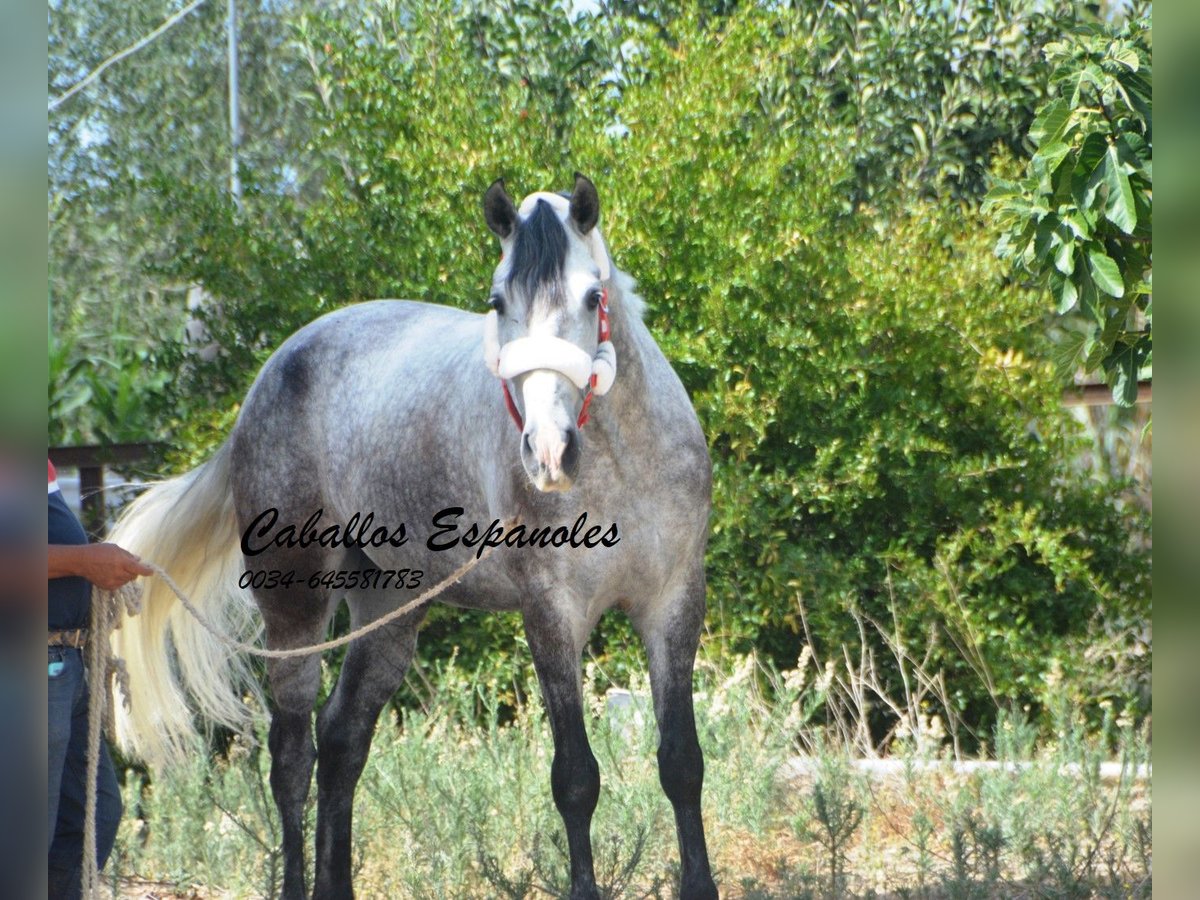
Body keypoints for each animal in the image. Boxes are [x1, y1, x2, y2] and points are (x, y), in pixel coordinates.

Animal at [110, 172, 710, 897]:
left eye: (593, 296)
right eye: (497, 301)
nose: (547, 453)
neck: (620, 464)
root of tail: (271, 375)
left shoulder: (673, 603)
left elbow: (682, 763)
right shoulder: (552, 614)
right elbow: (576, 780)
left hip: (390, 608)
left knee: (342, 742)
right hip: (295, 606)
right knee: (292, 757)